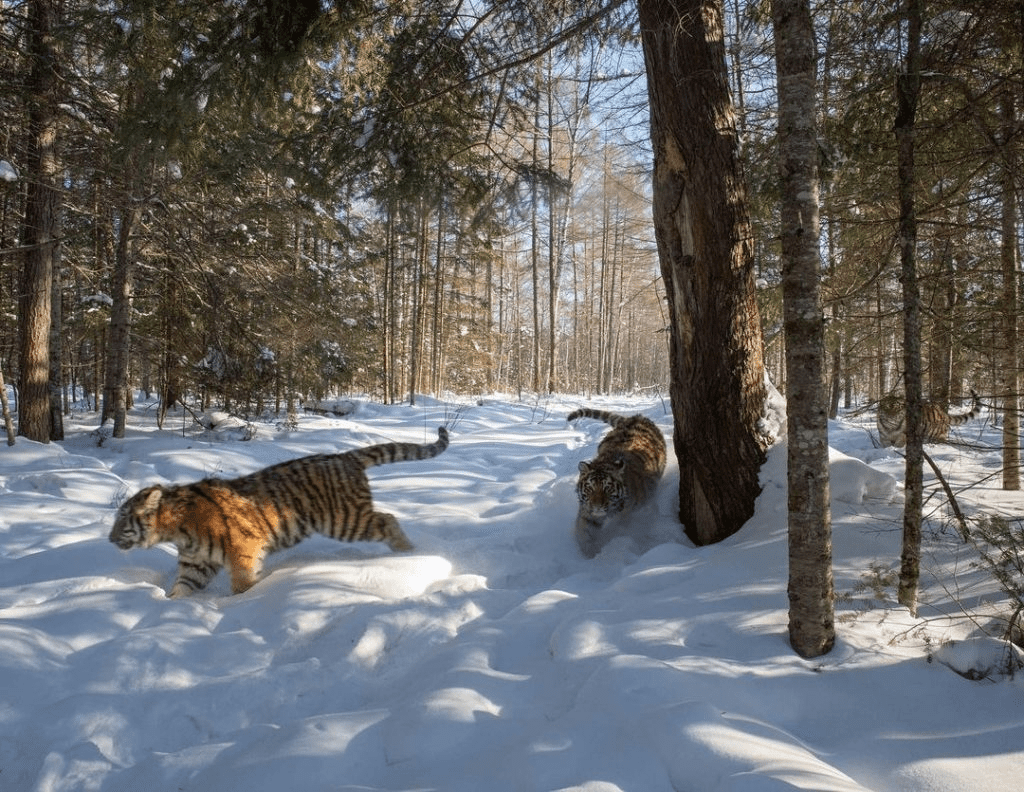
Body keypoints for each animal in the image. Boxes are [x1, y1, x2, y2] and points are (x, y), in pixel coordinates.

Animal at [110, 426, 450, 594]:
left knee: (387, 519)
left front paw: (243, 602)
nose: (110, 540)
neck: (177, 531)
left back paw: (407, 552)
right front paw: (169, 606)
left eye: (123, 519)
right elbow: (181, 589)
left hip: (344, 520)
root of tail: (347, 456)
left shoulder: (243, 550)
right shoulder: (196, 565)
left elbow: (242, 584)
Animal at [565, 407, 667, 557]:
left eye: (607, 488)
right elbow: (584, 532)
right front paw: (590, 553)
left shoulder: (628, 512)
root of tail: (637, 417)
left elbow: (621, 527)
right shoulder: (587, 512)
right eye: (590, 488)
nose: (597, 507)